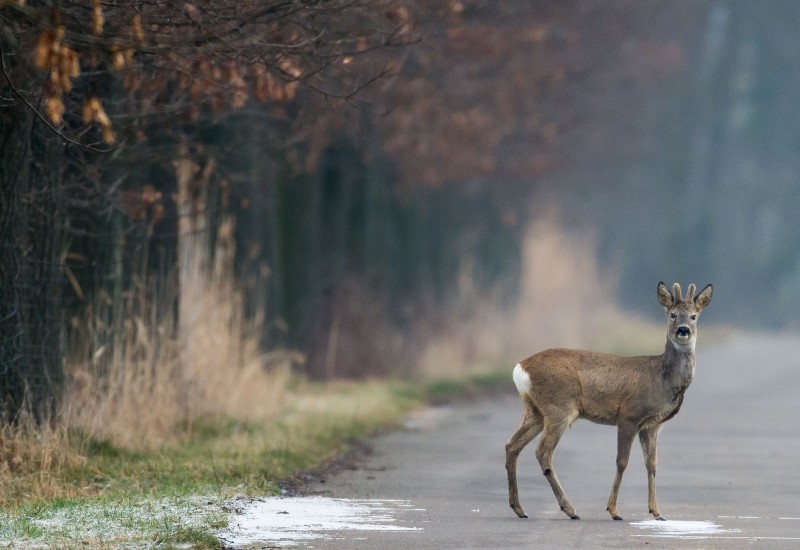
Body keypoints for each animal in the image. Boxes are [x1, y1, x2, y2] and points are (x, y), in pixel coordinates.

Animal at [504, 282, 716, 524]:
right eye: (672, 314)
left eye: (694, 316)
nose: (683, 330)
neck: (663, 377)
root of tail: (520, 367)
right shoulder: (629, 415)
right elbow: (622, 462)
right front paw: (614, 510)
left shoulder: (653, 426)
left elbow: (652, 464)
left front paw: (657, 512)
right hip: (559, 407)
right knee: (543, 452)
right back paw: (570, 509)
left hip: (535, 411)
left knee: (512, 445)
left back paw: (519, 508)